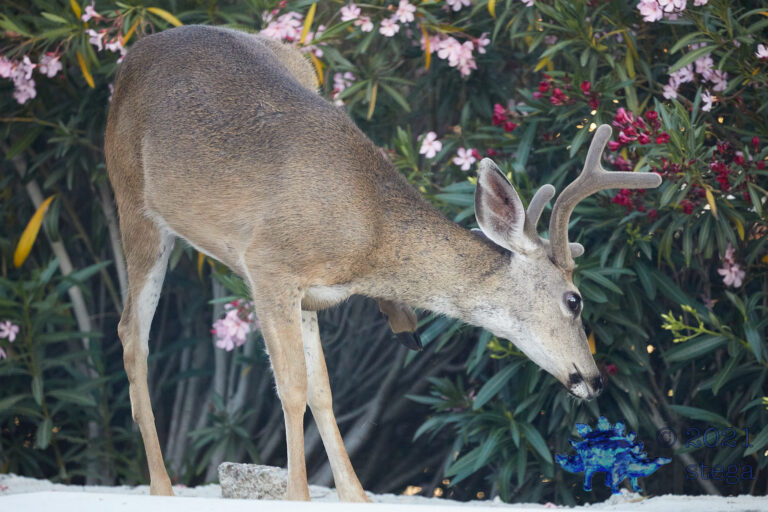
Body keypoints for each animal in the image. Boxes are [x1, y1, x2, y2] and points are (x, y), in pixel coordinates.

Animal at [104, 25, 662, 502]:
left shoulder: (311, 295)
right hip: (134, 204)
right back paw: (161, 487)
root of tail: (130, 58)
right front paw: (297, 496)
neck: (370, 236)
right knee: (132, 334)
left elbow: (323, 391)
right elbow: (291, 387)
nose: (594, 379)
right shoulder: (269, 265)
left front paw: (355, 495)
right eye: (574, 300)